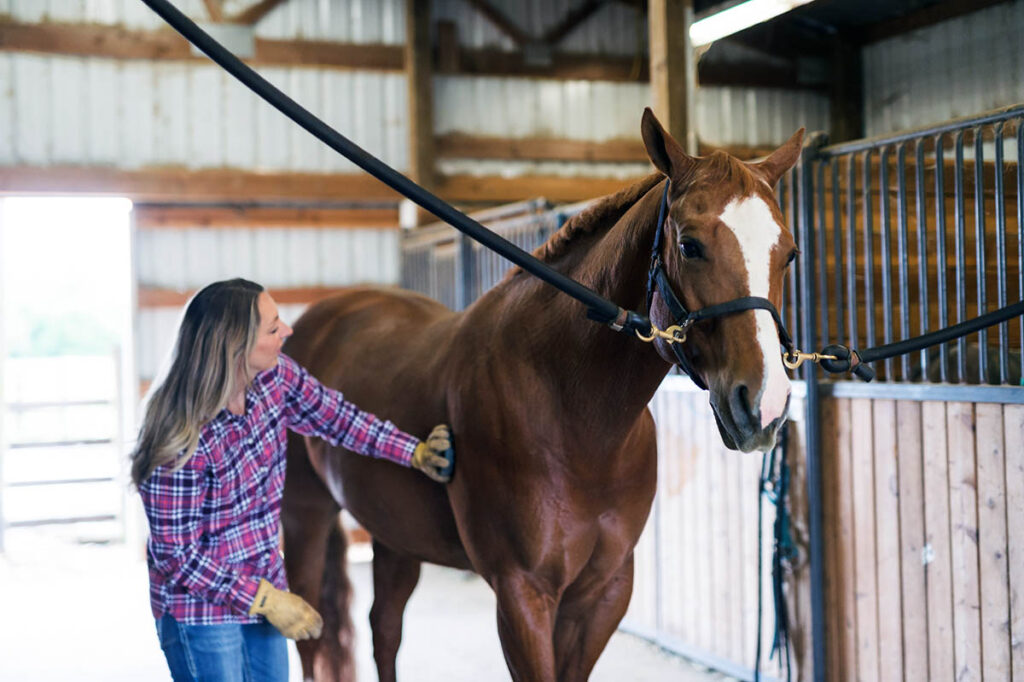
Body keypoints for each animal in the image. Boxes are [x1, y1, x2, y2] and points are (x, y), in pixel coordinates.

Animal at [279, 108, 804, 682]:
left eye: (789, 253)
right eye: (689, 245)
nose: (764, 403)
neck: (574, 416)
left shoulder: (604, 591)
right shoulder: (522, 593)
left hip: (395, 533)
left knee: (385, 629)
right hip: (302, 516)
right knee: (313, 633)